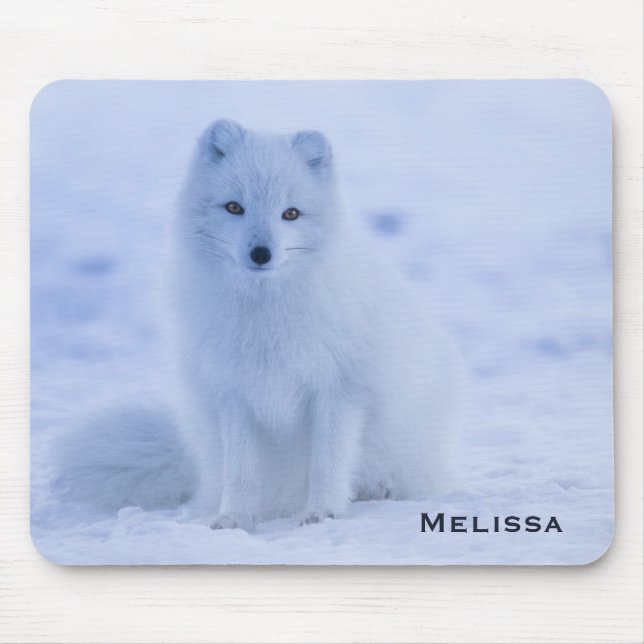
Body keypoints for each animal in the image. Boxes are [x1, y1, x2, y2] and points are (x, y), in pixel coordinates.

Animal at [52, 119, 465, 531]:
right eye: (235, 207)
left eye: (291, 214)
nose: (261, 253)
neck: (264, 315)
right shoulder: (233, 392)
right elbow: (241, 470)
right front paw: (234, 518)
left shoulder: (340, 390)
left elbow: (327, 461)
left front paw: (322, 512)